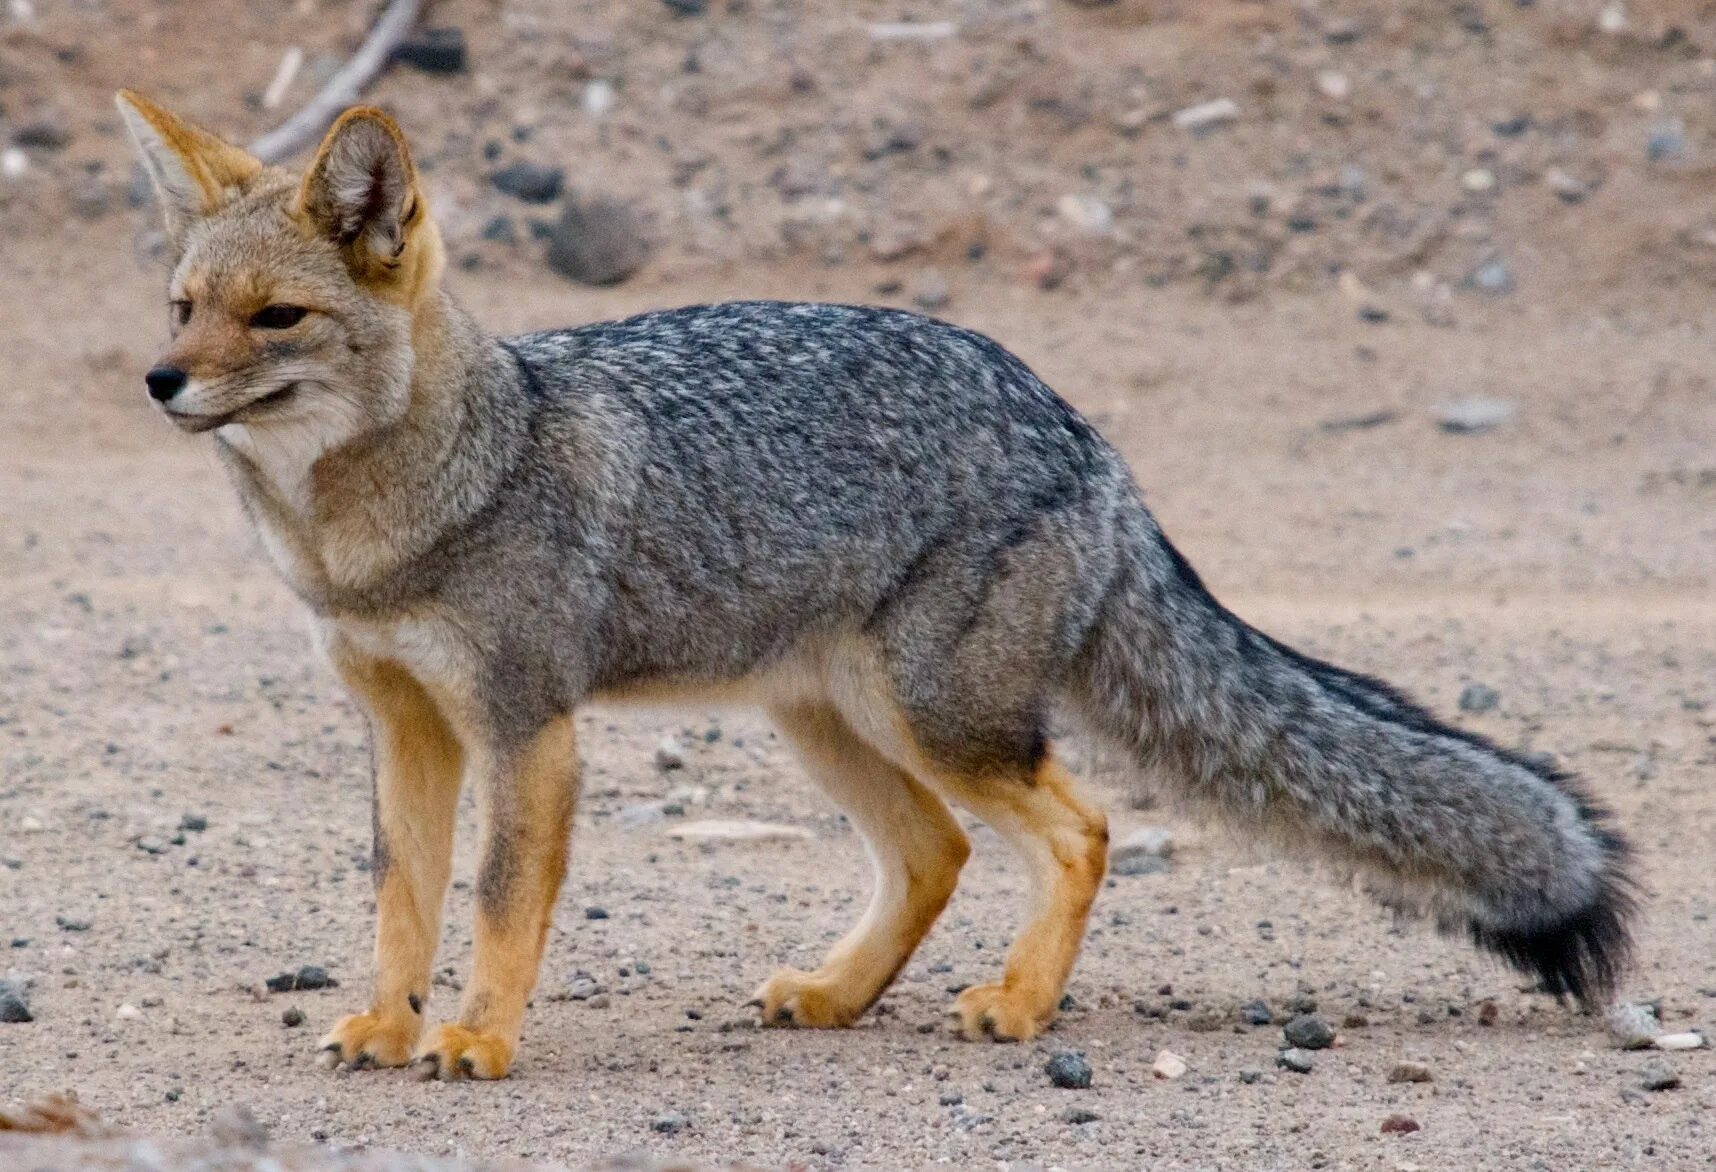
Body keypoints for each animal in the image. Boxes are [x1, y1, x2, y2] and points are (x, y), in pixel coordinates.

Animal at [120, 93, 1633, 1084]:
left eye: (276, 319)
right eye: (184, 305)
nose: (158, 381)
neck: (383, 522)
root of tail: (1085, 430)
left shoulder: (526, 725)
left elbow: (492, 898)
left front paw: (478, 1036)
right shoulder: (403, 723)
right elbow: (402, 894)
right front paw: (388, 1021)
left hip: (936, 714)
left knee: (1078, 827)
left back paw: (1018, 1006)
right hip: (829, 721)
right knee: (939, 850)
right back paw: (841, 994)